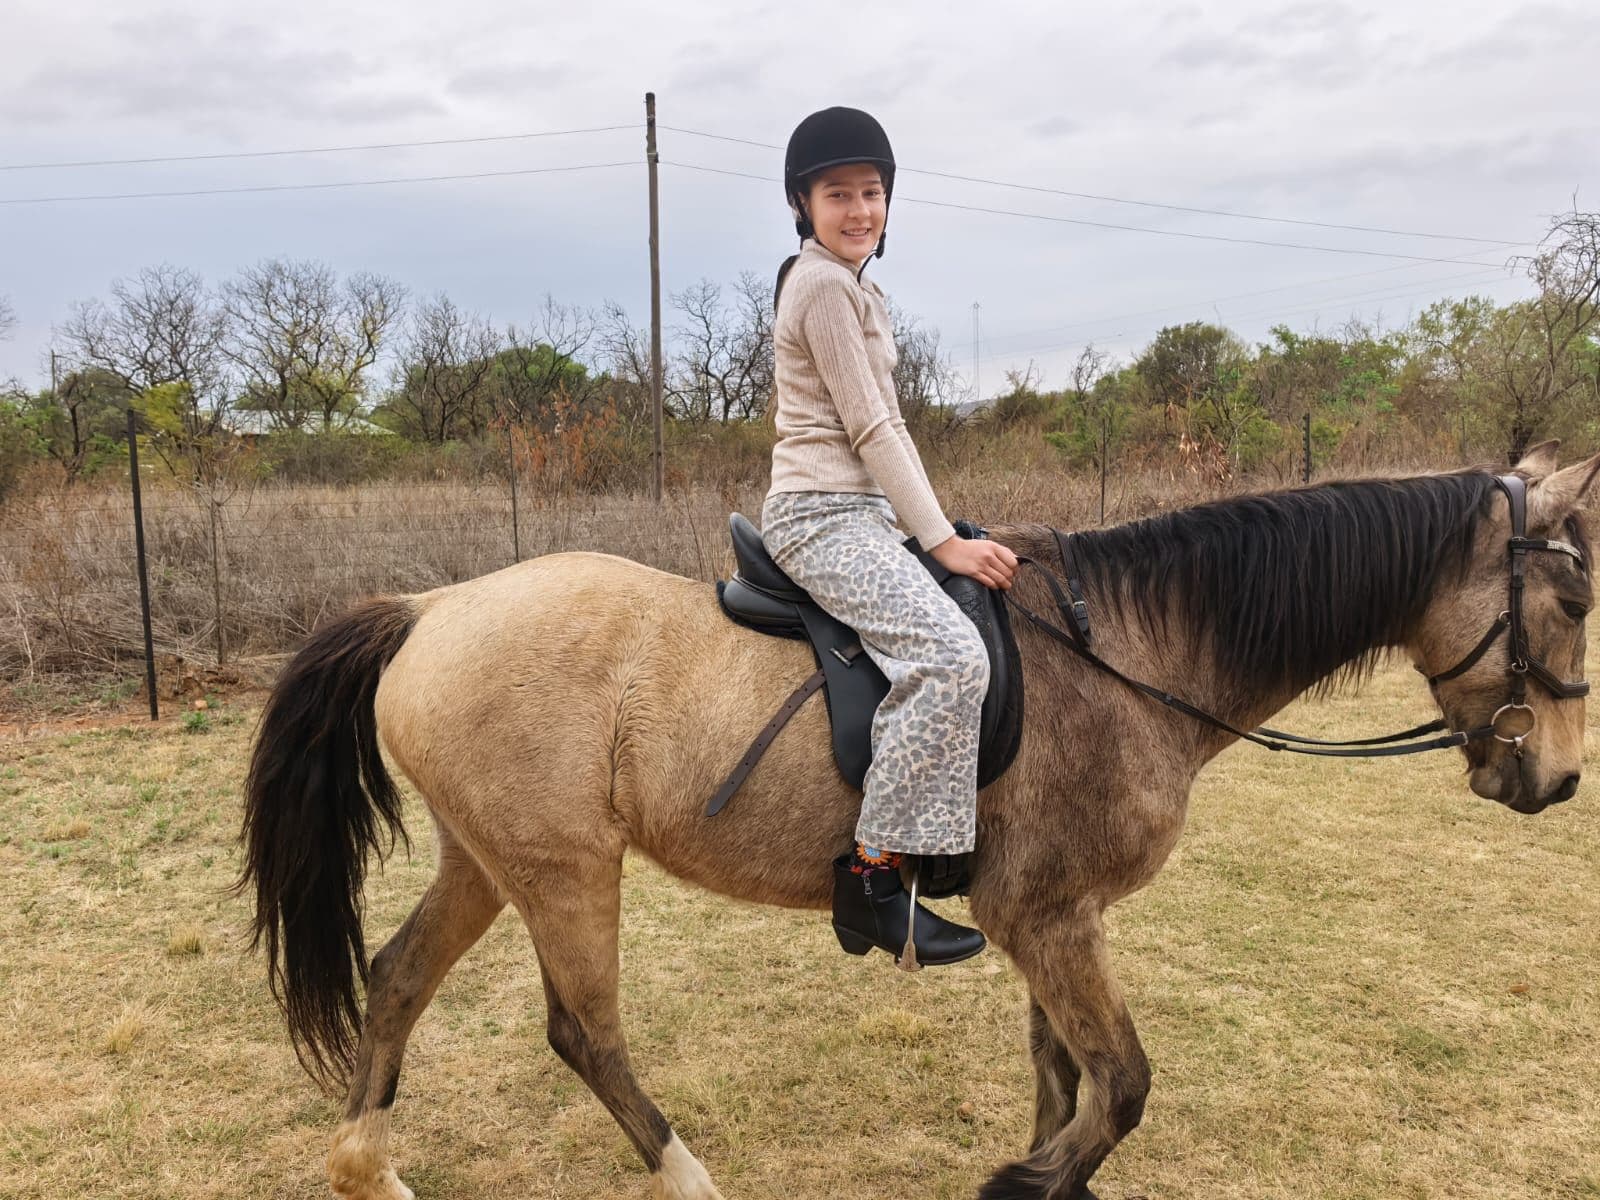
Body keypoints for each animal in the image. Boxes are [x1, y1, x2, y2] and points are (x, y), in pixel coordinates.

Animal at [240, 443, 1599, 1200]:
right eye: (1576, 599)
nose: (1558, 782)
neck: (1132, 654)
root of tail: (428, 607)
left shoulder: (1055, 921)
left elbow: (1065, 1078)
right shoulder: (1046, 918)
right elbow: (1119, 1088)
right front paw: (1023, 1185)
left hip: (487, 859)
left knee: (396, 976)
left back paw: (369, 1171)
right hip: (565, 871)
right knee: (585, 1035)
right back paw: (688, 1179)